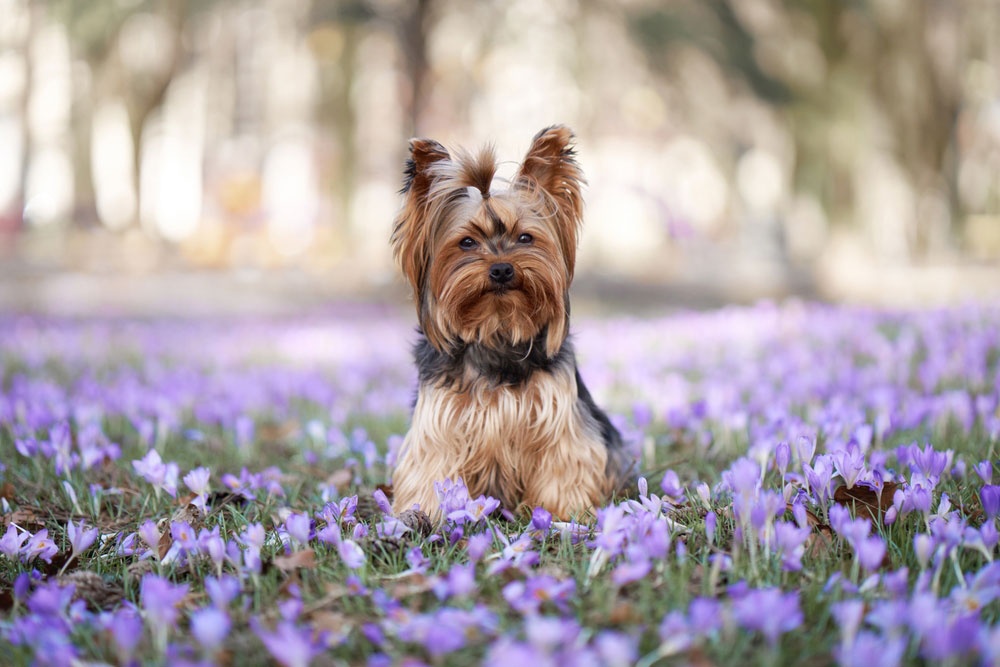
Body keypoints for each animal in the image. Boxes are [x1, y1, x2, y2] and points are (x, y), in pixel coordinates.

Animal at [386, 126, 628, 520]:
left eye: (525, 237)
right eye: (467, 242)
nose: (501, 269)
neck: (497, 329)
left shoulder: (557, 417)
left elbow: (564, 460)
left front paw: (560, 514)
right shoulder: (440, 420)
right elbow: (432, 465)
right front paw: (428, 513)